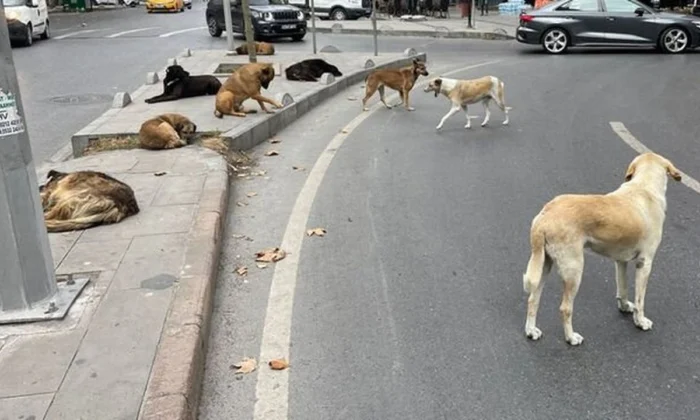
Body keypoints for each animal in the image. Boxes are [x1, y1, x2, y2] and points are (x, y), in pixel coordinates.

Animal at [524, 153, 680, 346]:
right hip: (574, 270)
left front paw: (625, 307)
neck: (644, 187)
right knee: (565, 308)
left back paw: (531, 331)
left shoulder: (620, 261)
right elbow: (640, 300)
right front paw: (640, 322)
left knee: (533, 299)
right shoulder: (645, 263)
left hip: (543, 265)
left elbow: (623, 288)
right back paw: (571, 337)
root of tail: (545, 216)